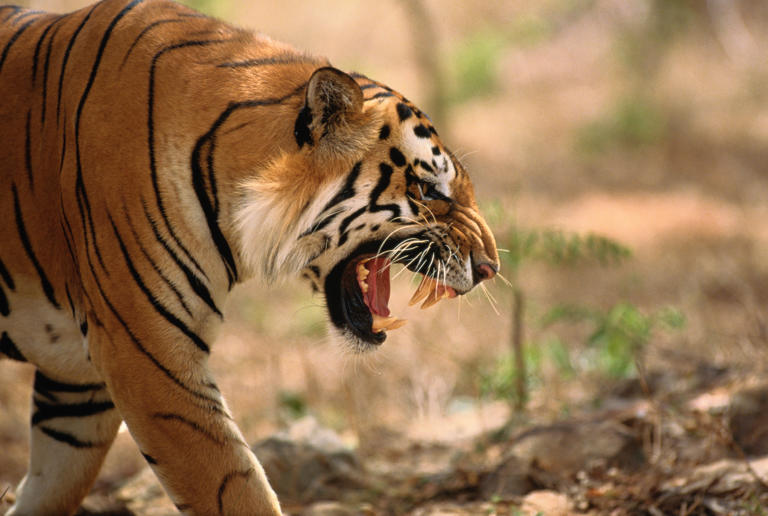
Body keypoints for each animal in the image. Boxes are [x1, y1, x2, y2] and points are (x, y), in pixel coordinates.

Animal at [0, 0, 499, 514]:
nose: (490, 267)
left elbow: (54, 485)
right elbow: (235, 486)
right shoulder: (145, 356)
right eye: (429, 189)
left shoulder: (78, 380)